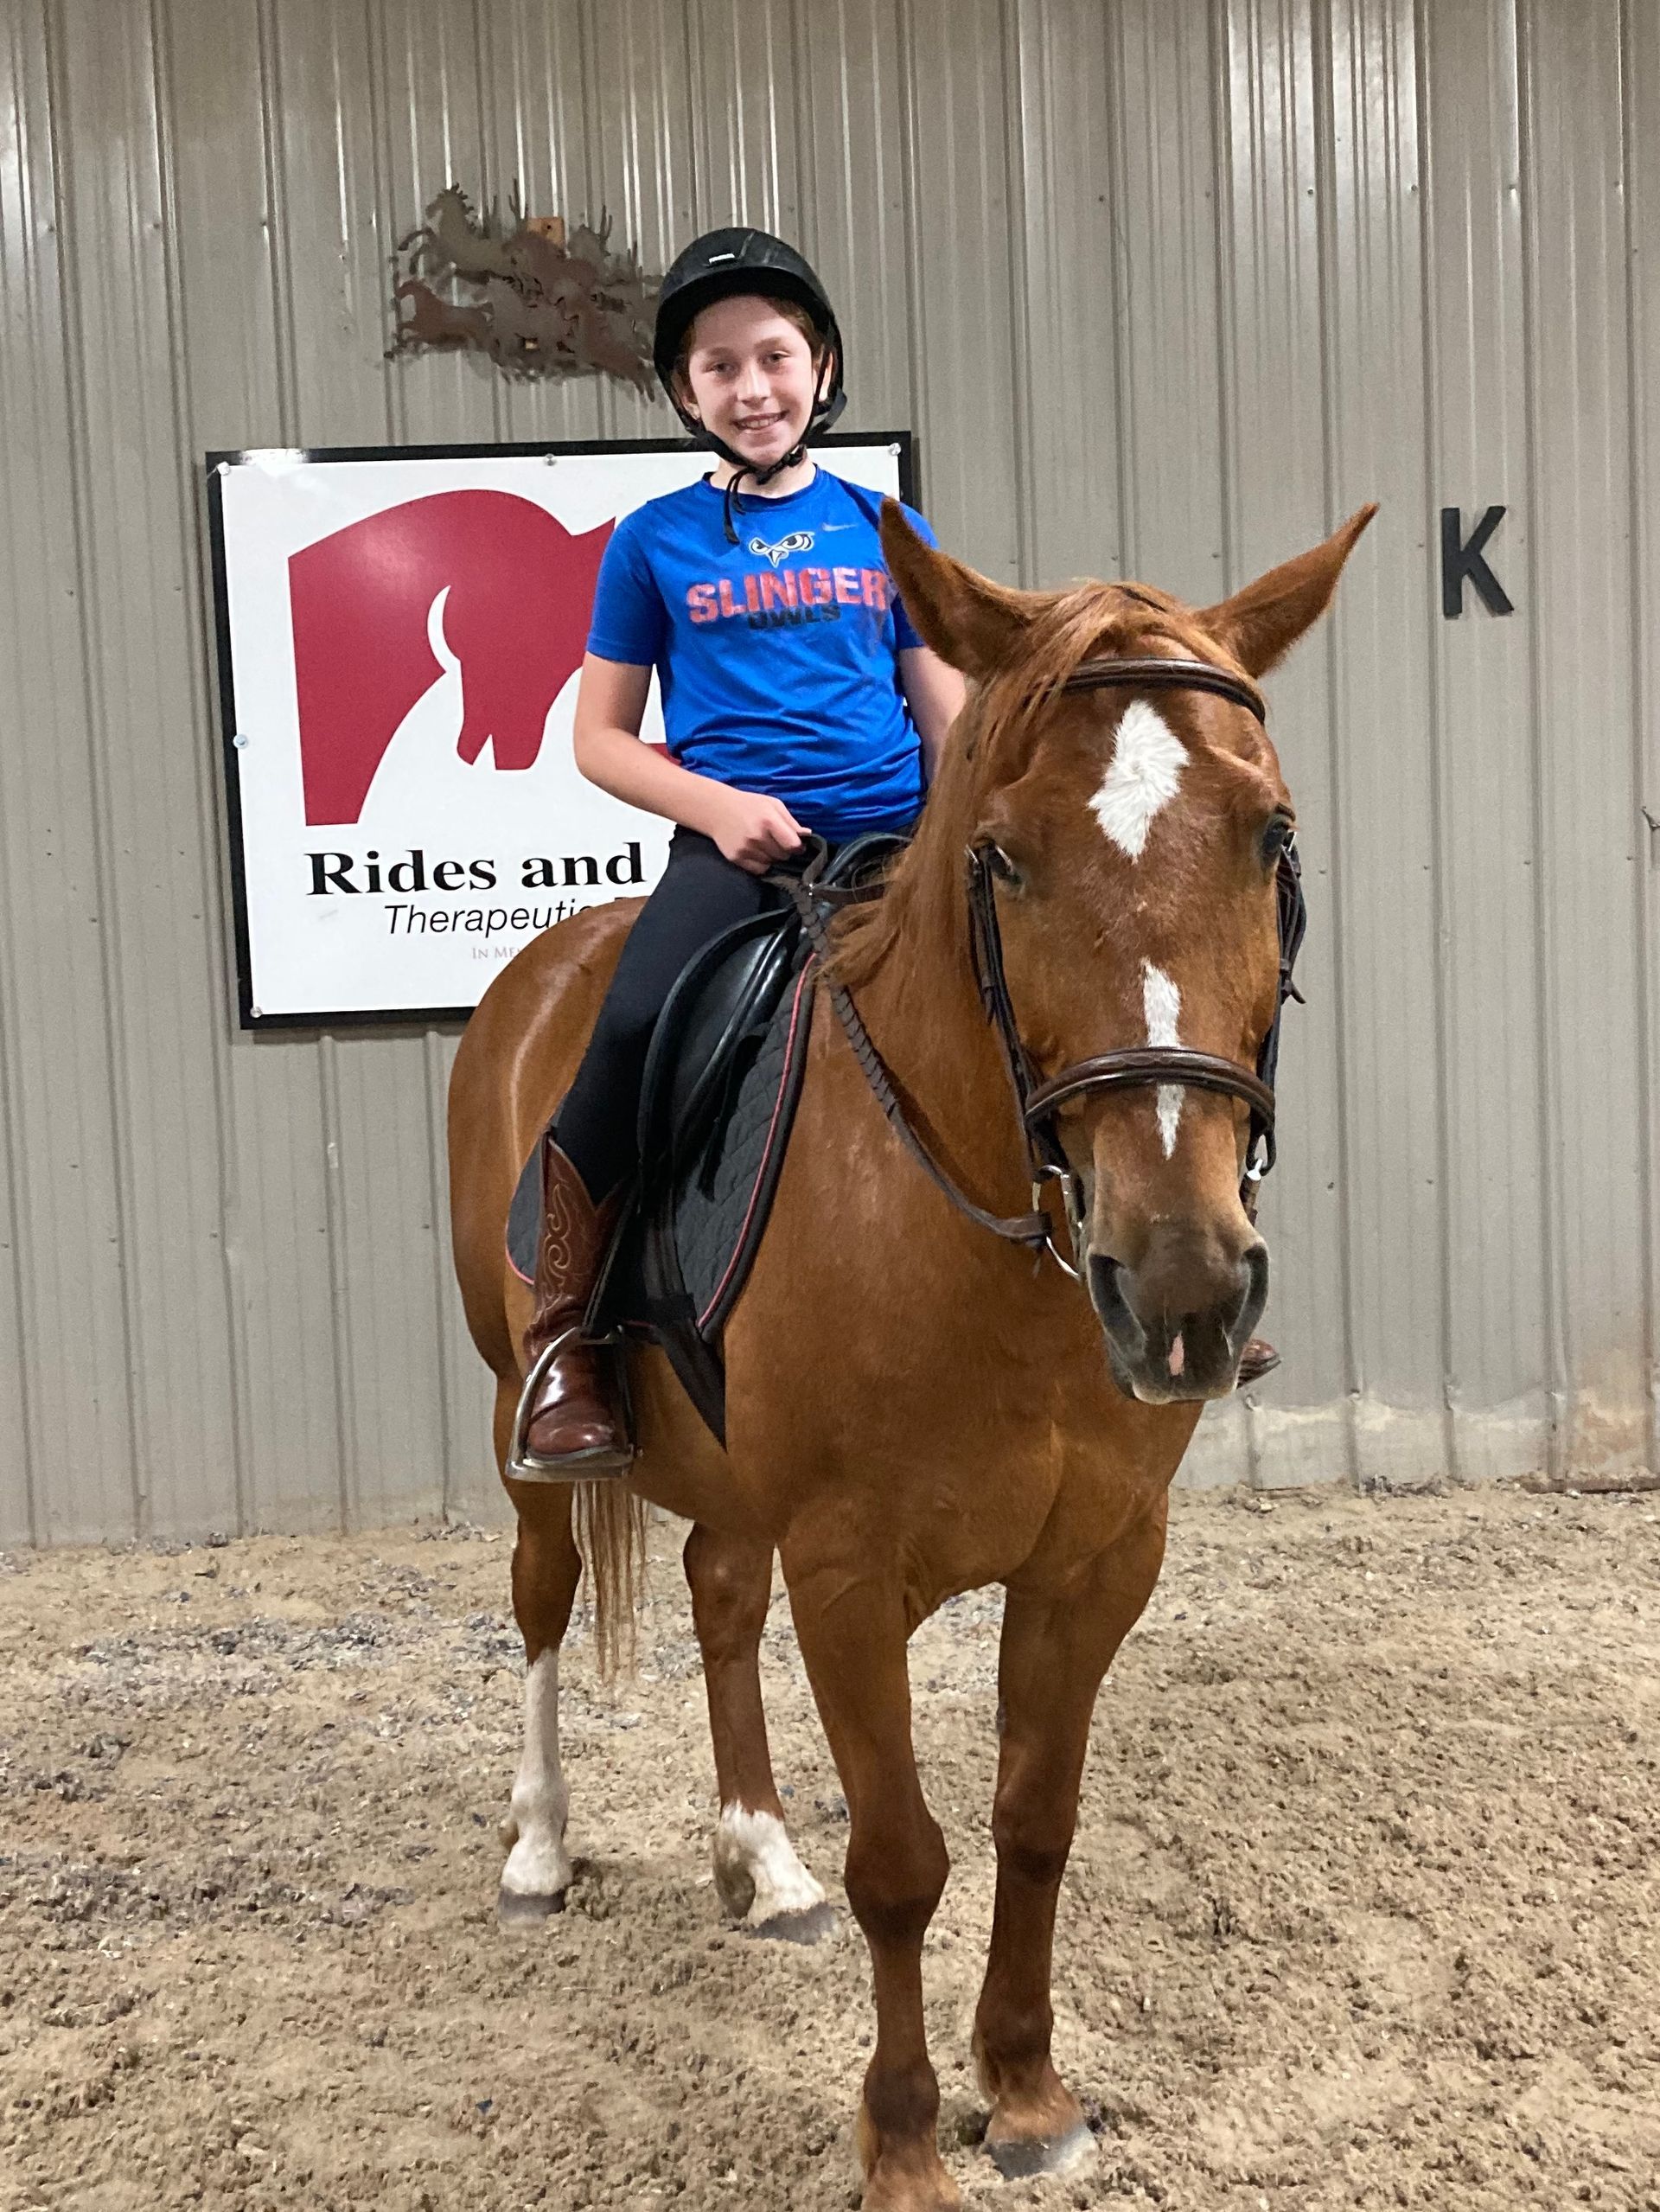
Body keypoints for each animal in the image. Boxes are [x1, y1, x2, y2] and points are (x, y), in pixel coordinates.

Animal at [447, 498, 1375, 2211]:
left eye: (1271, 836)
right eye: (1002, 854)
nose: (1181, 1283)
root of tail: (542, 970)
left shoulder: (1098, 1558)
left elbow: (1033, 1821)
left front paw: (1027, 2093)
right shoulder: (850, 1566)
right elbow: (903, 1859)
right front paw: (902, 2139)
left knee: (715, 1593)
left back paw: (761, 1858)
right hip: (514, 1407)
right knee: (543, 1594)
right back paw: (539, 1847)